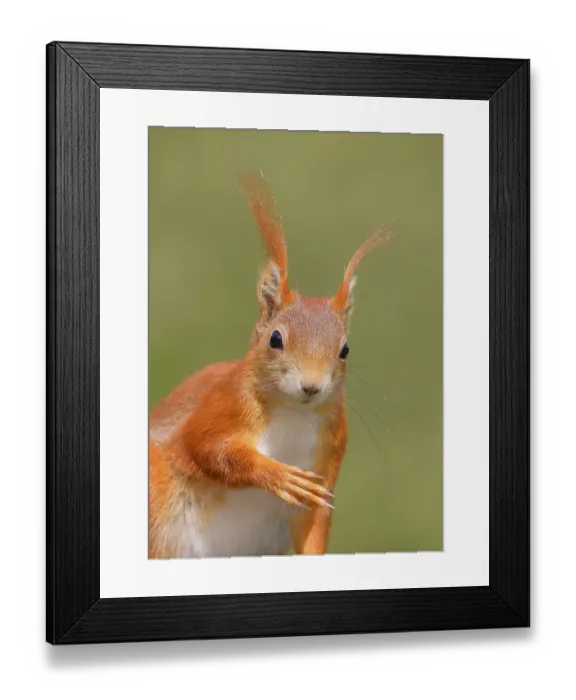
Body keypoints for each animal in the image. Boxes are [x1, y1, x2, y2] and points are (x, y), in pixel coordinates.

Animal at [149, 174, 392, 559]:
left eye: (345, 350)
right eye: (275, 339)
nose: (311, 386)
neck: (292, 413)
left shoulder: (329, 457)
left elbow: (315, 522)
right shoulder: (219, 406)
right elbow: (206, 447)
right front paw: (279, 476)